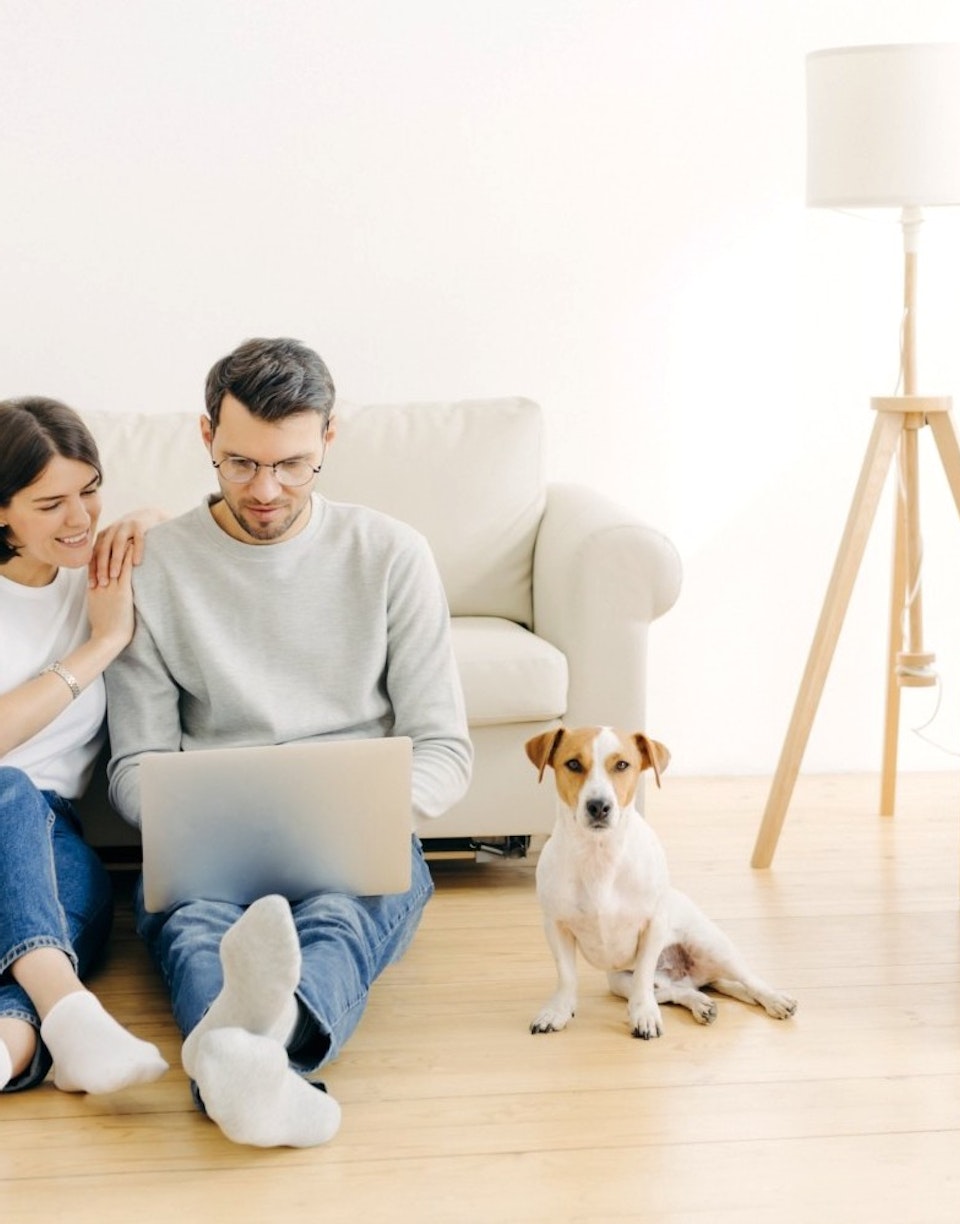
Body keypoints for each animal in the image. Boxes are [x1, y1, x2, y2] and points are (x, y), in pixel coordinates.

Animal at [524, 724, 793, 1042]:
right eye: (574, 764)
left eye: (622, 765)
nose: (599, 806)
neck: (600, 854)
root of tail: (695, 975)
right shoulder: (556, 926)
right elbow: (566, 976)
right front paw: (558, 1011)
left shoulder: (652, 925)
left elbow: (643, 977)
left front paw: (644, 1016)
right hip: (618, 980)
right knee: (678, 991)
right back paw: (700, 1003)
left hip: (713, 946)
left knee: (749, 980)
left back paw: (774, 999)